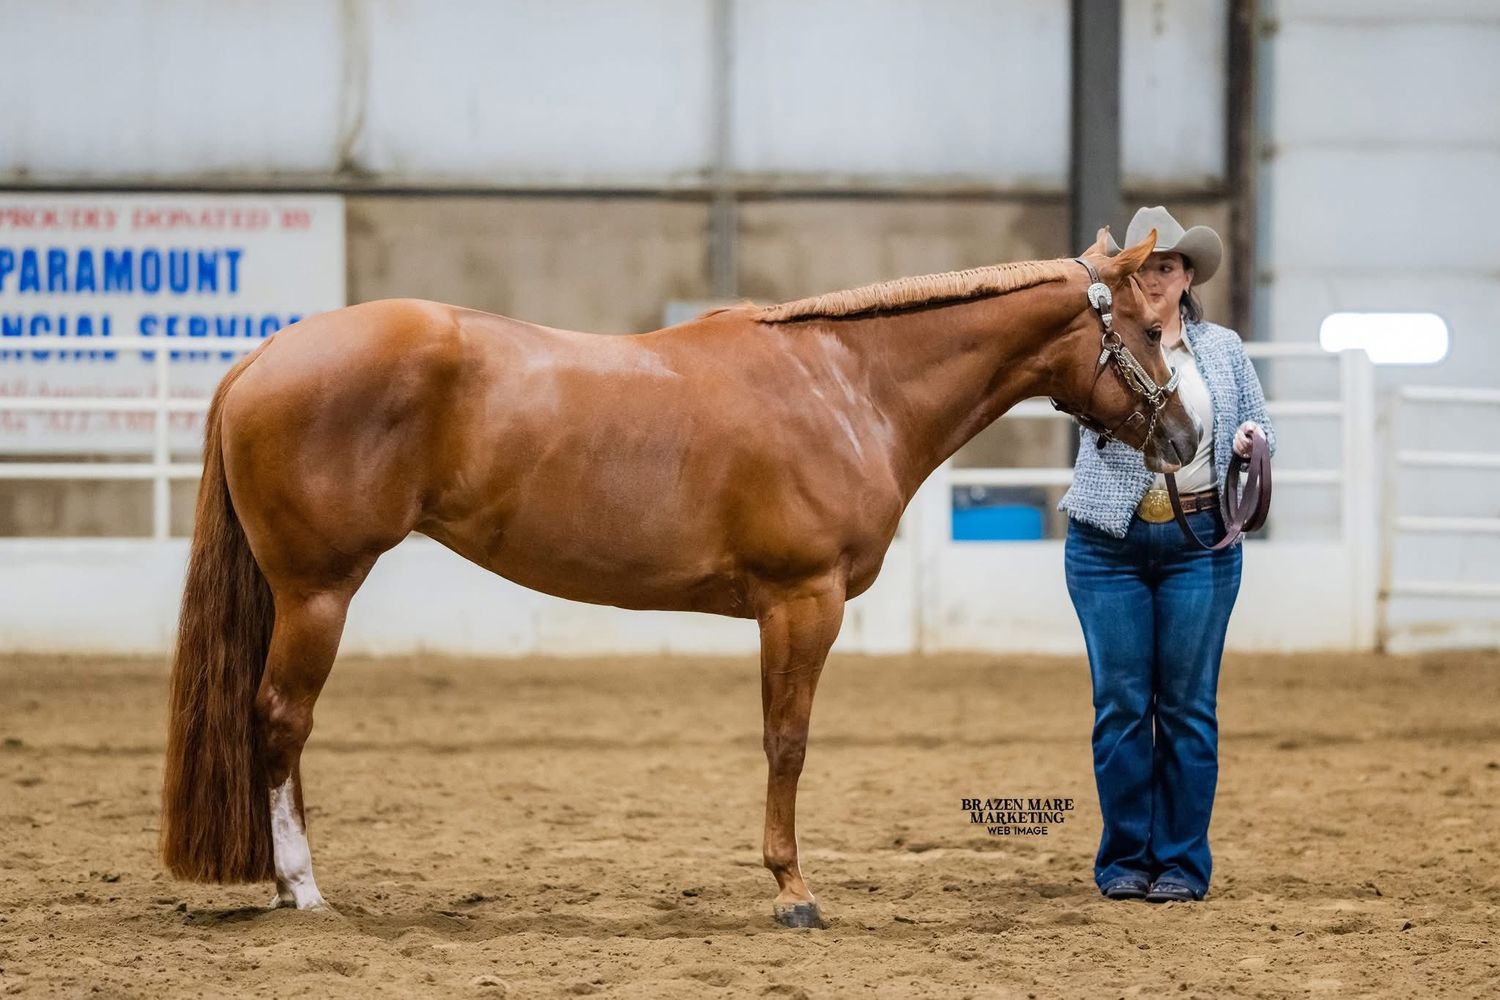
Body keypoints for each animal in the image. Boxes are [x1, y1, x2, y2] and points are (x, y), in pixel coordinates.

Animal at [160, 227, 1196, 929]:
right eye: (1150, 328)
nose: (1187, 440)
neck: (846, 383)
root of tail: (266, 353)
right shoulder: (801, 602)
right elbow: (788, 743)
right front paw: (793, 892)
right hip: (319, 591)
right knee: (280, 720)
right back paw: (303, 890)